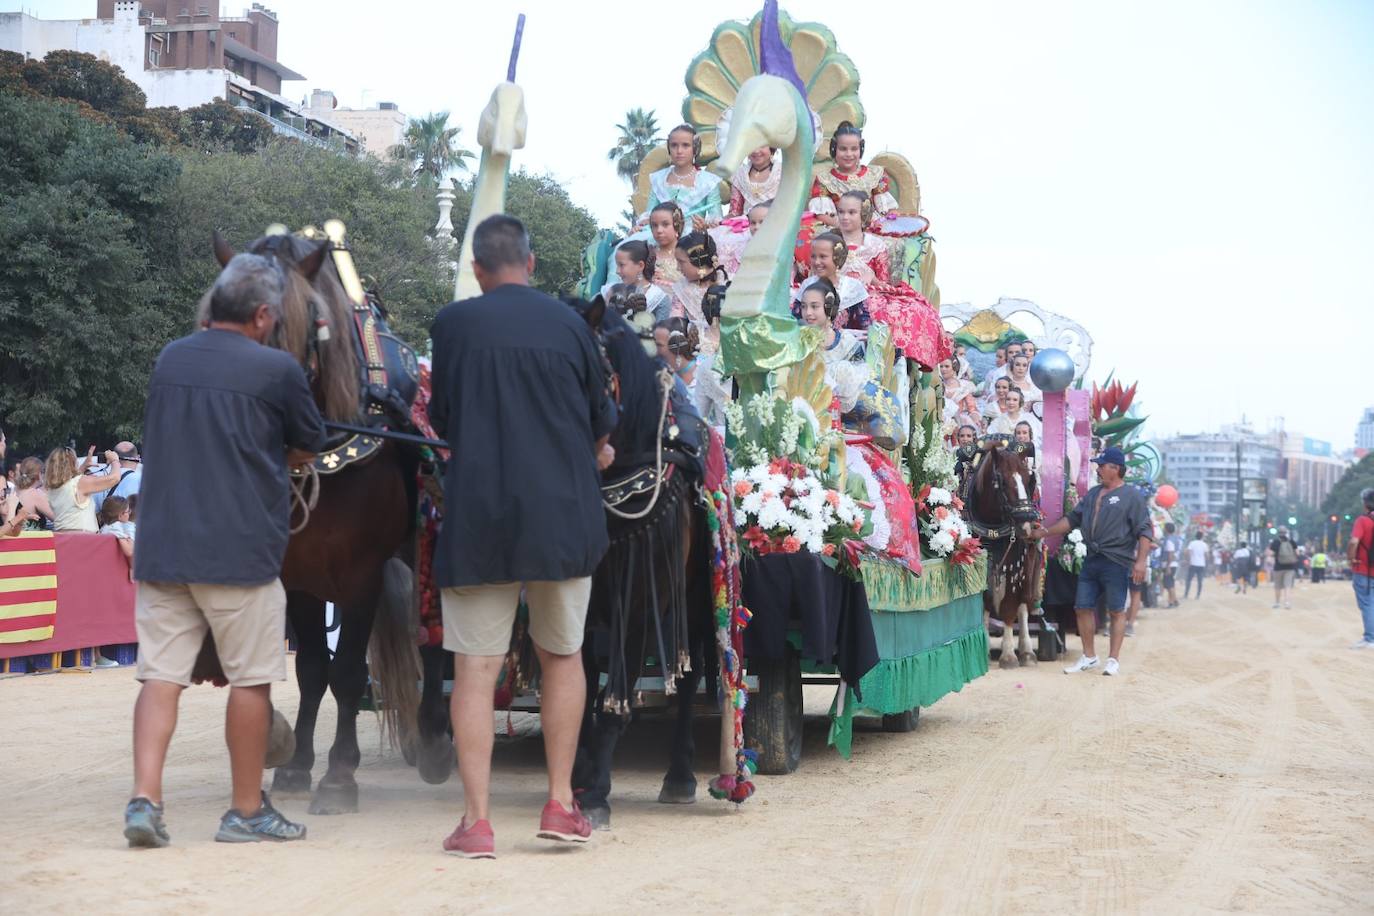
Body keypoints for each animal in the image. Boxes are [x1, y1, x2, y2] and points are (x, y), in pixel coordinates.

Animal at [200, 233, 453, 813]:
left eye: (308, 316)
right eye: (217, 314)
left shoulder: (361, 576)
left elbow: (348, 671)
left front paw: (340, 774)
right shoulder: (300, 577)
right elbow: (313, 667)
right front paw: (296, 766)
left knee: (433, 640)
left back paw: (434, 740)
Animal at [563, 295, 719, 829]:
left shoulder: (633, 606)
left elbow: (614, 699)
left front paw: (596, 794)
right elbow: (579, 689)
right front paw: (578, 772)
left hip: (693, 602)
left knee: (690, 679)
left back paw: (681, 775)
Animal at [967, 436, 1038, 667]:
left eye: (1029, 480)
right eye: (1003, 482)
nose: (1026, 525)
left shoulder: (1015, 566)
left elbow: (1009, 607)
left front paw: (1008, 654)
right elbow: (982, 605)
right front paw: (983, 649)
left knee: (1023, 607)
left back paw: (1026, 651)